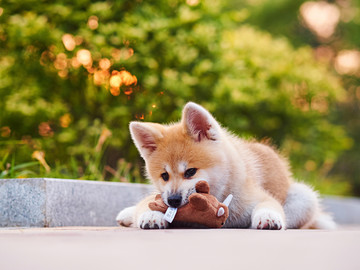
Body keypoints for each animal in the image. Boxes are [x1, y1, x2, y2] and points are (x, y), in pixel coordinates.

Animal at [116, 102, 336, 230]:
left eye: (190, 172)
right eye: (164, 176)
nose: (173, 200)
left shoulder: (259, 197)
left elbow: (268, 205)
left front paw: (267, 216)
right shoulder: (159, 196)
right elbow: (147, 204)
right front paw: (152, 214)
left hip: (305, 197)